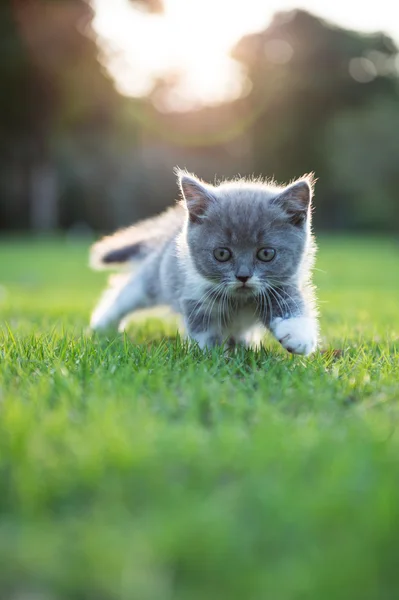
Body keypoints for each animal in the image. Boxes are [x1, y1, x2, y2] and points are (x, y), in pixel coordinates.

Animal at [90, 171, 318, 354]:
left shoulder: (282, 284)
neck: (240, 300)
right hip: (156, 277)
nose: (243, 276)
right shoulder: (195, 294)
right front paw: (210, 355)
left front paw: (298, 336)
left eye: (266, 253)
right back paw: (102, 325)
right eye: (222, 254)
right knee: (128, 290)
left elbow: (292, 302)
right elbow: (204, 329)